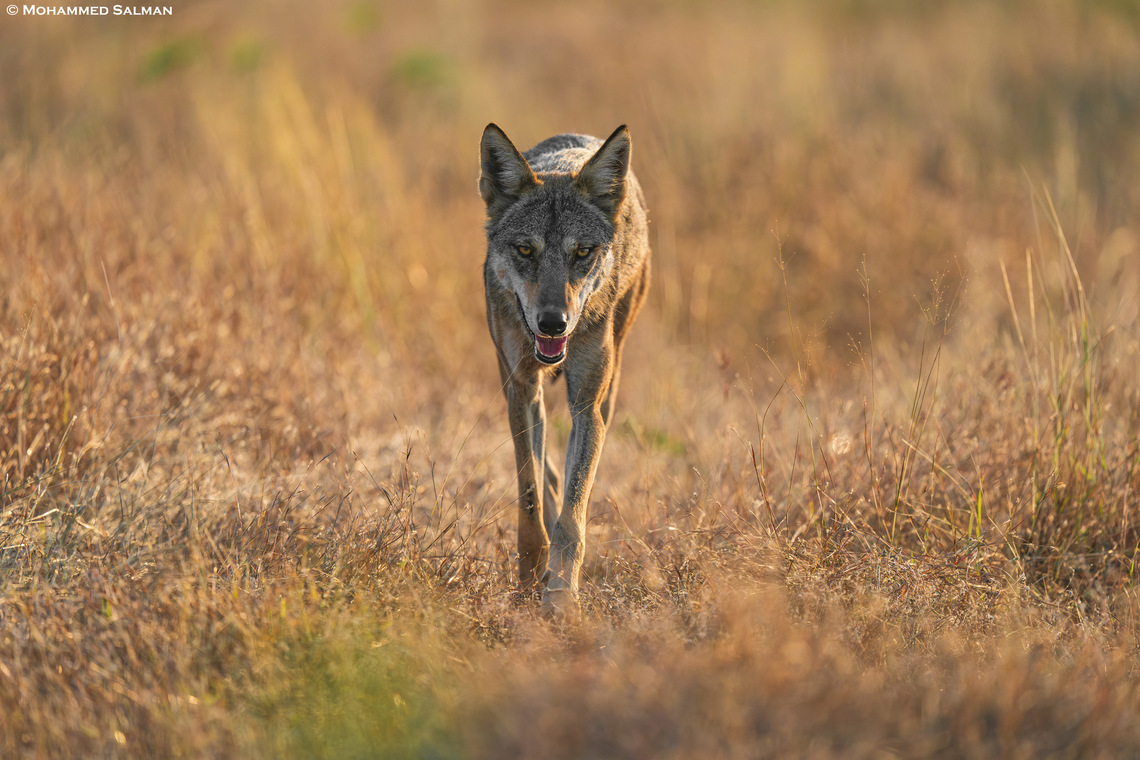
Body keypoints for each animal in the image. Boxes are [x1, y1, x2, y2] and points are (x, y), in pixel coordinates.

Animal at [479, 123, 651, 612]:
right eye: (524, 250)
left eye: (582, 252)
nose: (553, 322)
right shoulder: (520, 390)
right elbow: (530, 499)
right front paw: (528, 578)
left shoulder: (585, 407)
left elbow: (573, 517)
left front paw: (561, 598)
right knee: (546, 472)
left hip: (608, 390)